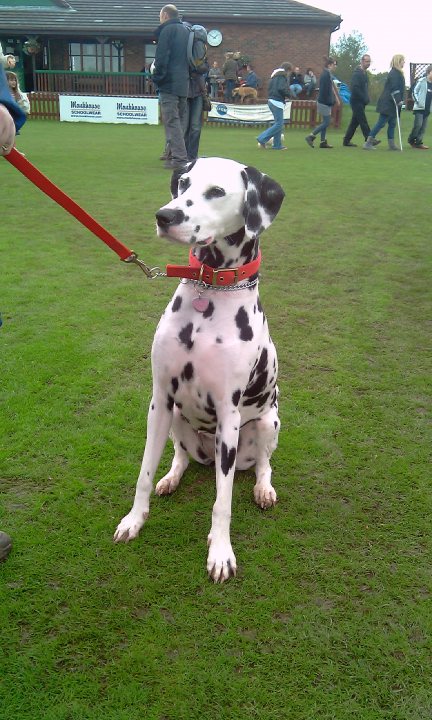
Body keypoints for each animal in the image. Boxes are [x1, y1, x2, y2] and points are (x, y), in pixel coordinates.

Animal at [113, 156, 286, 580]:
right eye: (184, 183)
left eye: (217, 191)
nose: (165, 216)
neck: (210, 294)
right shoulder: (159, 399)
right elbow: (142, 472)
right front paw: (134, 519)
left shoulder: (229, 414)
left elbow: (222, 501)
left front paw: (221, 552)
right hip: (176, 417)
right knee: (180, 455)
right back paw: (171, 477)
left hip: (265, 423)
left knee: (263, 465)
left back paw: (263, 488)